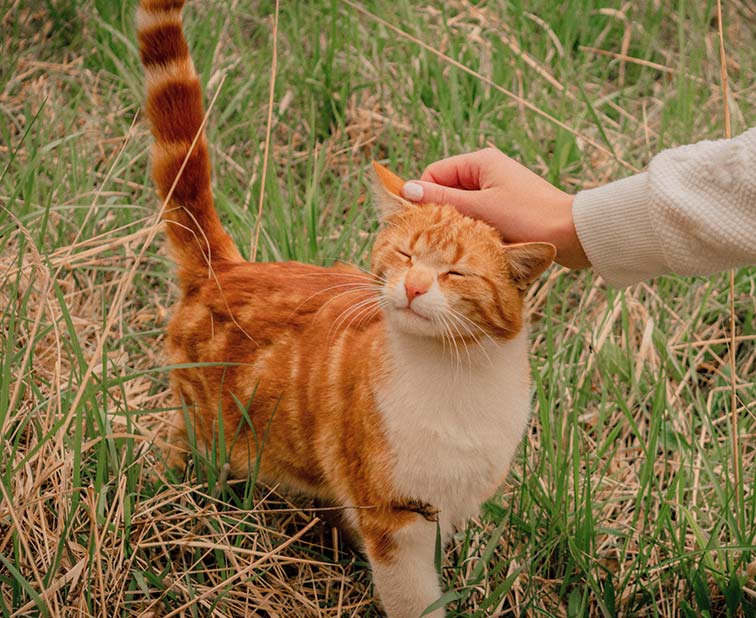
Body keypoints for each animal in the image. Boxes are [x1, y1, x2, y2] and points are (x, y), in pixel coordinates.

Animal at [137, 2, 556, 612]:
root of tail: (226, 268)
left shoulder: (450, 506)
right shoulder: (395, 517)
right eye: (404, 254)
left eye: (454, 272)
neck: (457, 378)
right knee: (181, 448)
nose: (414, 287)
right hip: (208, 434)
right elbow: (414, 598)